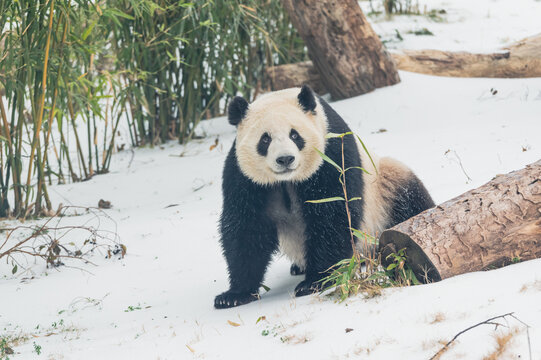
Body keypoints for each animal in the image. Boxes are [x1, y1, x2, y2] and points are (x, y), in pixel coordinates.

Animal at [213, 86, 432, 308]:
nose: (285, 159)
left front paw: (315, 281)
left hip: (383, 188)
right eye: (265, 139)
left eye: (295, 135)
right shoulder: (244, 178)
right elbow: (246, 228)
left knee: (407, 197)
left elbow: (332, 215)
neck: (287, 180)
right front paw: (234, 295)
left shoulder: (331, 153)